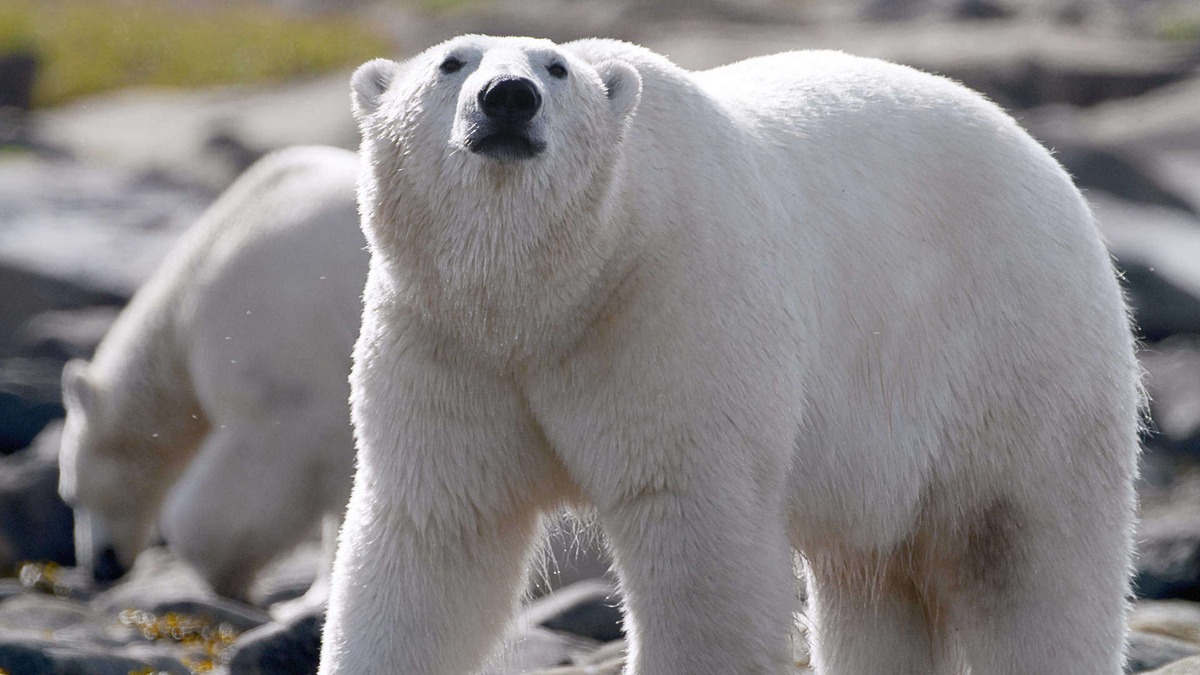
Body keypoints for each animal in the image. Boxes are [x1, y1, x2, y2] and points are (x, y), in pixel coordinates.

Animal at [321, 35, 1142, 675]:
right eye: (451, 62)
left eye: (555, 69)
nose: (509, 98)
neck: (552, 294)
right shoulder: (448, 341)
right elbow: (435, 538)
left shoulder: (670, 306)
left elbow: (696, 538)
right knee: (877, 585)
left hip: (1015, 355)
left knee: (1030, 558)